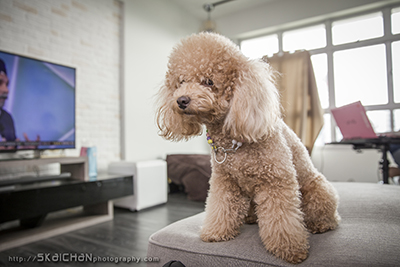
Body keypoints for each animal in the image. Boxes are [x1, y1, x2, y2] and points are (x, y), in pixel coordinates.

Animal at [155, 32, 340, 264]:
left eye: (209, 82)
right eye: (181, 82)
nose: (181, 100)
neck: (232, 142)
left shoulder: (276, 182)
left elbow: (282, 219)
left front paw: (290, 249)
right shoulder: (224, 182)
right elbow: (220, 208)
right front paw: (215, 232)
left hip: (318, 190)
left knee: (324, 213)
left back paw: (322, 224)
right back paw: (251, 218)